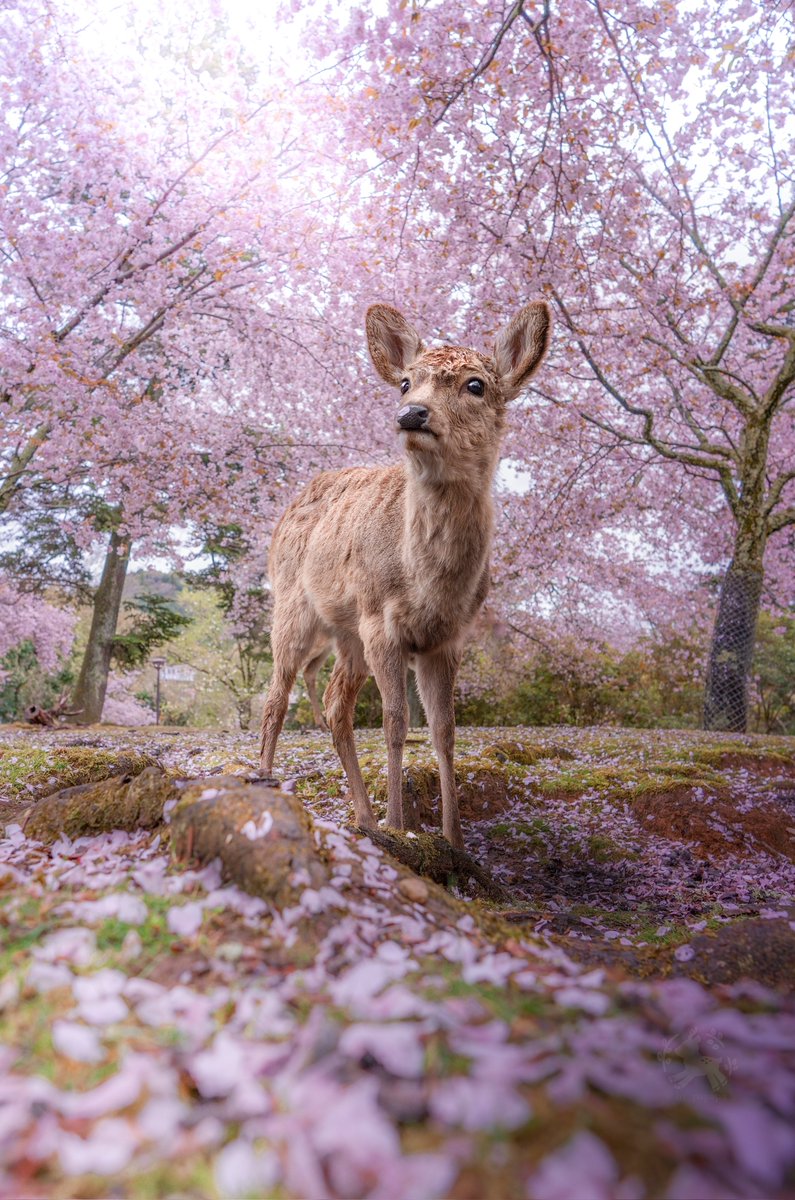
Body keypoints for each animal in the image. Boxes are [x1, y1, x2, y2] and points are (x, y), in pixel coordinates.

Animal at [258, 300, 552, 849]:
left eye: (476, 384)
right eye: (404, 382)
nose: (411, 413)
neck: (426, 581)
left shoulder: (448, 637)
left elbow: (445, 731)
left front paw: (454, 840)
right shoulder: (381, 621)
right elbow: (396, 722)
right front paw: (400, 826)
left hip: (346, 633)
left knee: (335, 703)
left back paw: (363, 818)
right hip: (294, 607)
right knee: (277, 693)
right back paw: (267, 779)